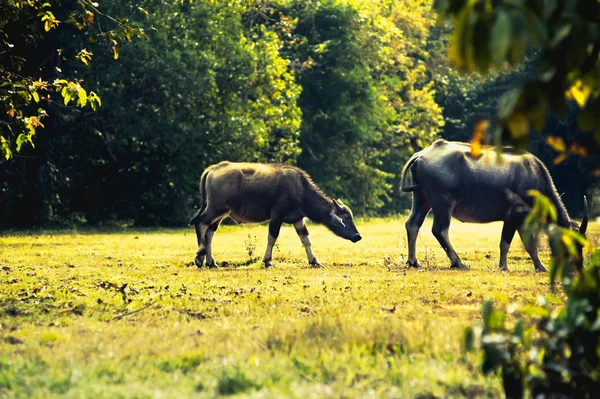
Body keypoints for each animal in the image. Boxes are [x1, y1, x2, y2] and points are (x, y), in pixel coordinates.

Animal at [188, 162, 360, 268]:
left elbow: (306, 240)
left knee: (210, 232)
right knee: (200, 223)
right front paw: (268, 261)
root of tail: (213, 169)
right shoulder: (277, 215)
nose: (358, 236)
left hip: (221, 214)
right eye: (346, 218)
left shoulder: (298, 220)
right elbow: (272, 237)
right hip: (216, 208)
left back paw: (211, 262)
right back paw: (199, 256)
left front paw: (314, 261)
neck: (300, 190)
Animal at [400, 139, 588, 274]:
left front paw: (540, 267)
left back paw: (413, 262)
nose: (578, 267)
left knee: (412, 224)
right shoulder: (513, 216)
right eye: (571, 244)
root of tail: (422, 154)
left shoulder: (523, 220)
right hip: (443, 204)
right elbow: (505, 242)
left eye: (582, 244)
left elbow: (530, 245)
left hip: (422, 200)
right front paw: (503, 266)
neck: (534, 176)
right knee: (439, 230)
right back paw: (458, 262)